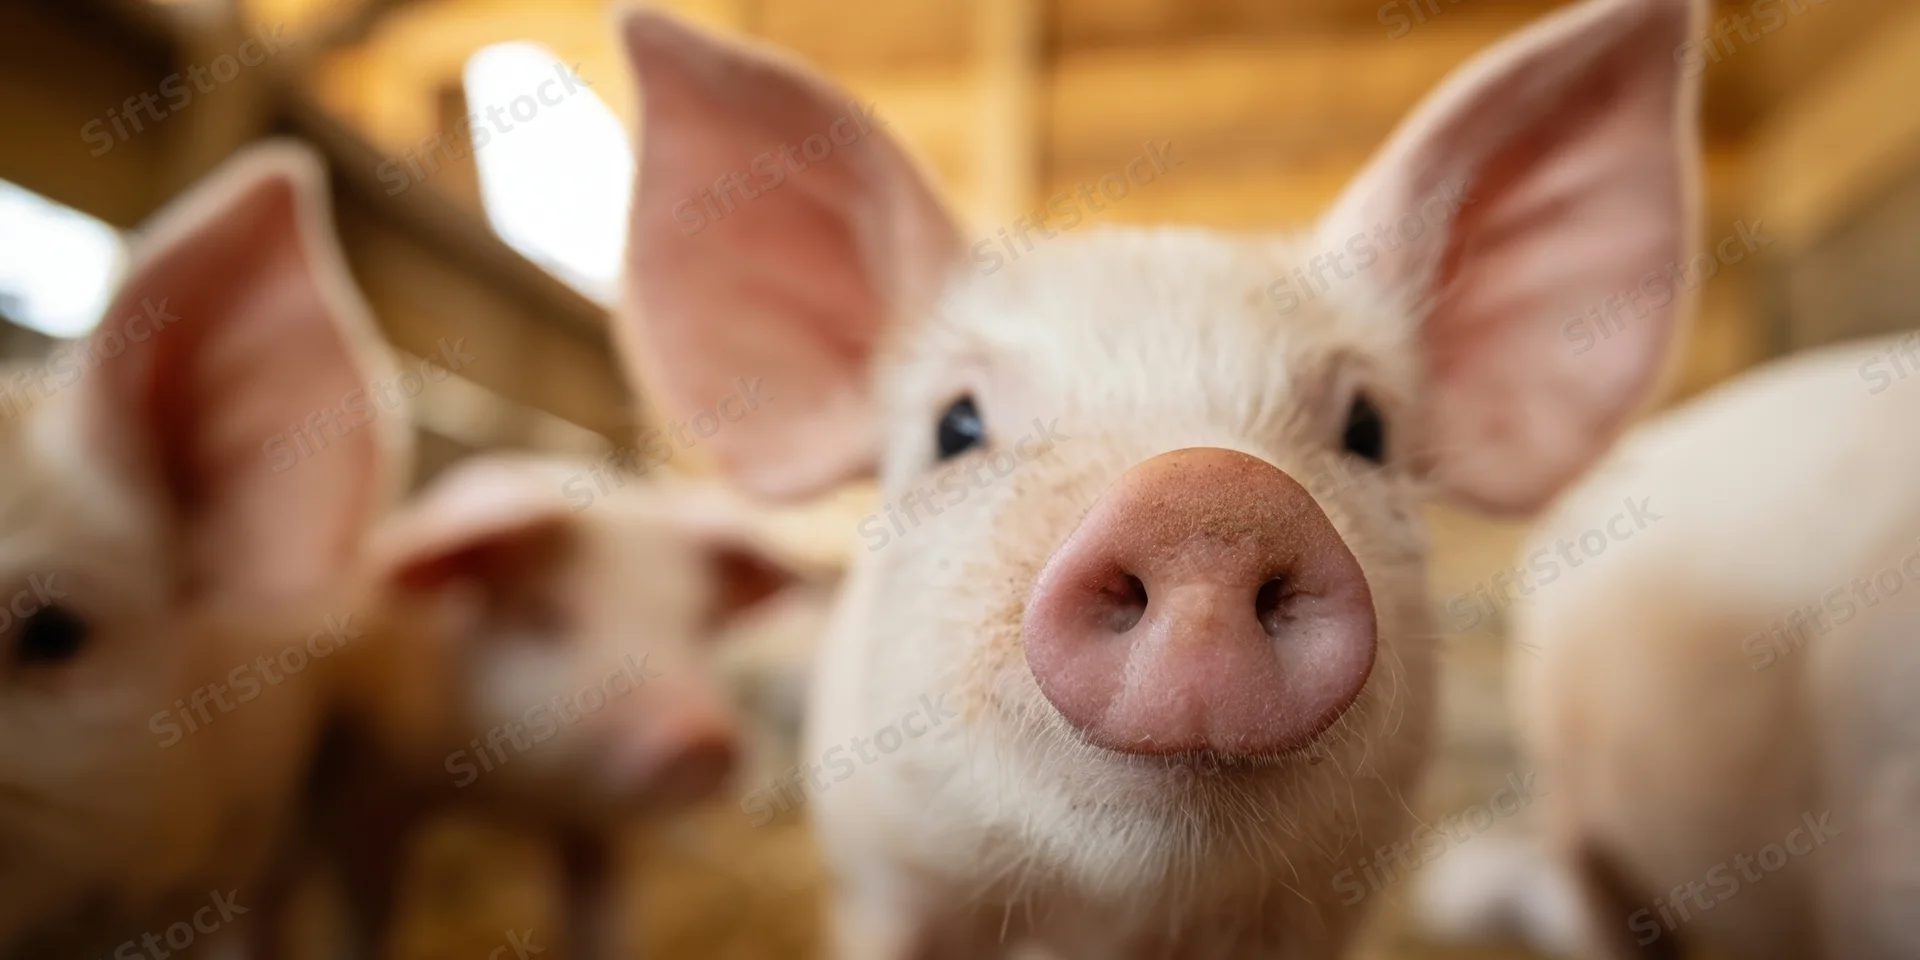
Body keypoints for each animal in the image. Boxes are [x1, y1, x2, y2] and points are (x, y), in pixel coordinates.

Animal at [304, 454, 813, 959]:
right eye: (543, 611)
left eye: (704, 623)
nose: (699, 743)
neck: (504, 790)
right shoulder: (374, 780)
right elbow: (369, 908)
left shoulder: (598, 826)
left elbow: (601, 922)